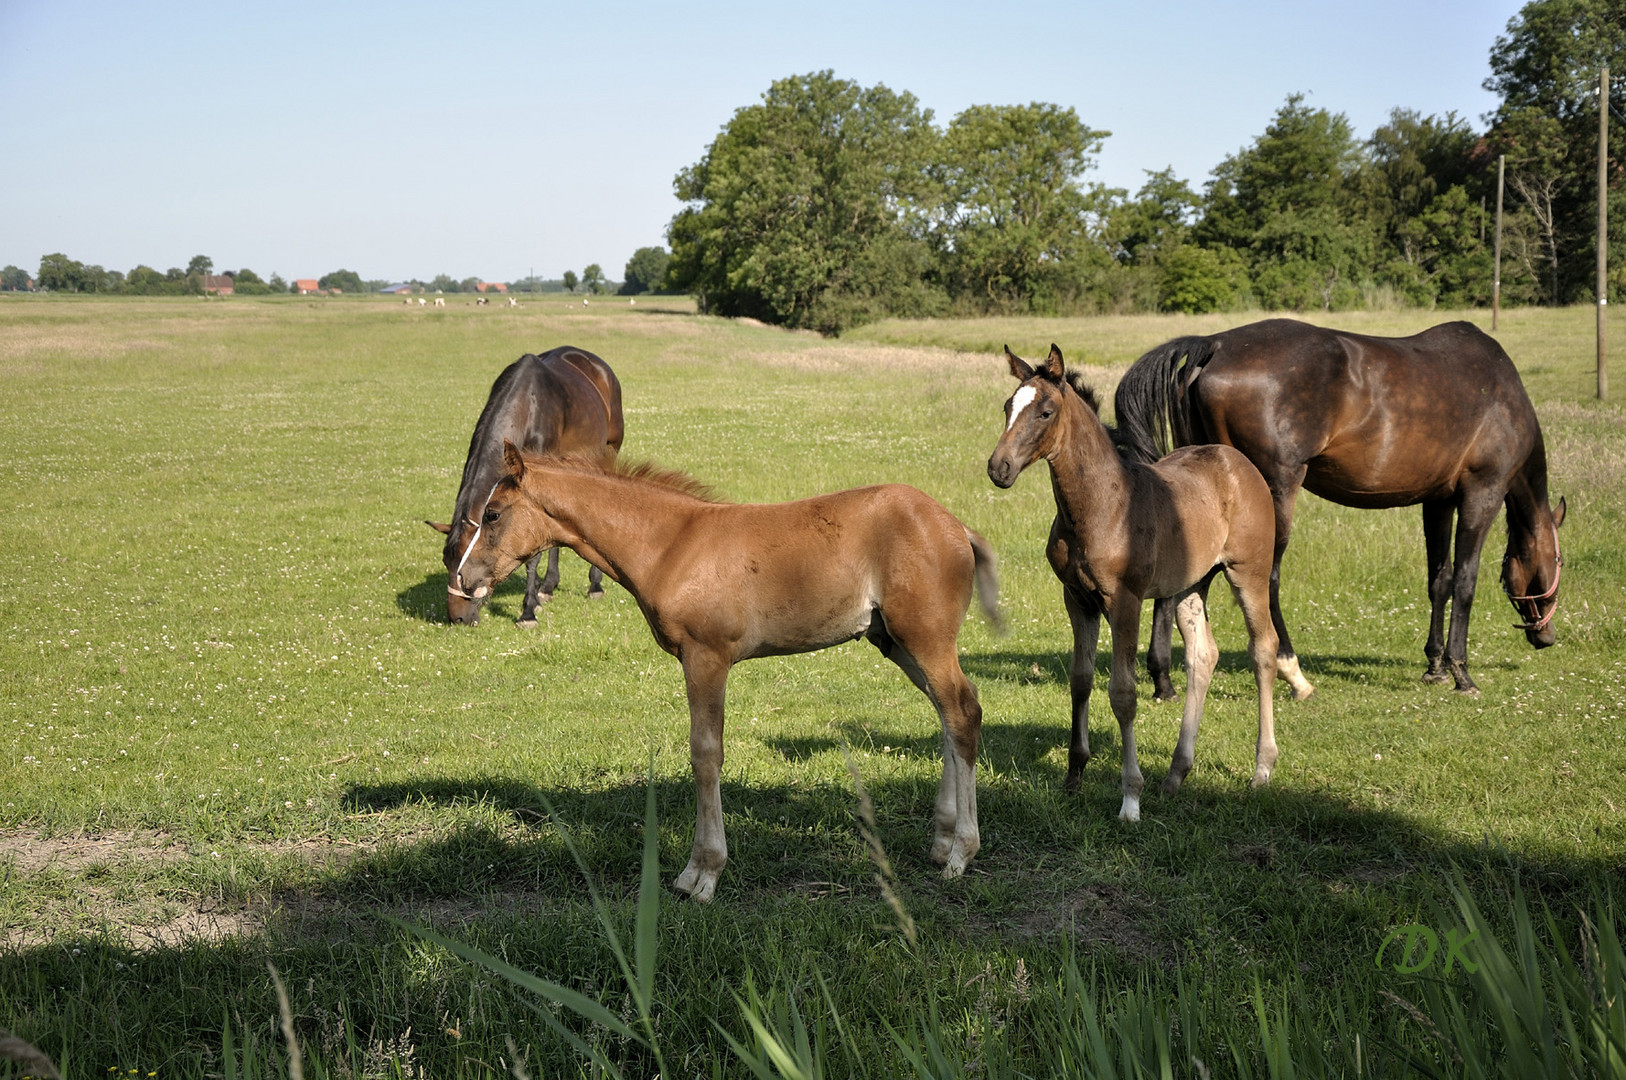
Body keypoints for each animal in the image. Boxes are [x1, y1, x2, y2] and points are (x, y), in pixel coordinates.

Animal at [426, 348, 621, 624]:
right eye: (446, 561)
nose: (458, 618)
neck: (528, 407)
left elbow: (533, 555)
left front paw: (528, 611)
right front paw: (539, 593)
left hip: (609, 451)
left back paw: (595, 585)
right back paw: (549, 586)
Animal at [452, 442, 995, 897]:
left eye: (493, 514)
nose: (463, 578)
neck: (670, 544)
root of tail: (956, 526)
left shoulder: (706, 657)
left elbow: (705, 755)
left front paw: (702, 875)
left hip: (926, 639)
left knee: (962, 711)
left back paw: (960, 855)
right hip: (897, 643)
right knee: (949, 715)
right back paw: (941, 842)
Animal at [988, 346, 1281, 819]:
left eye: (1046, 412)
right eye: (1007, 407)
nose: (999, 467)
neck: (1100, 506)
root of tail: (1240, 463)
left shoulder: (1124, 601)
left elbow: (1123, 693)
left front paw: (1130, 798)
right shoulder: (1077, 599)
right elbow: (1081, 679)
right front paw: (1074, 776)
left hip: (1248, 572)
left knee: (1263, 650)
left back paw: (1262, 768)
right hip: (1190, 585)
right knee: (1203, 655)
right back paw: (1176, 773)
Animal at [1118, 317, 1560, 696]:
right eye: (1558, 561)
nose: (1546, 636)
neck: (1501, 393)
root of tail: (1217, 344)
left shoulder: (1437, 501)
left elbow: (1441, 581)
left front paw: (1434, 666)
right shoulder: (1482, 493)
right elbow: (1466, 583)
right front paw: (1460, 672)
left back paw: (1163, 680)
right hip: (1275, 491)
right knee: (1269, 578)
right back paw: (1292, 671)